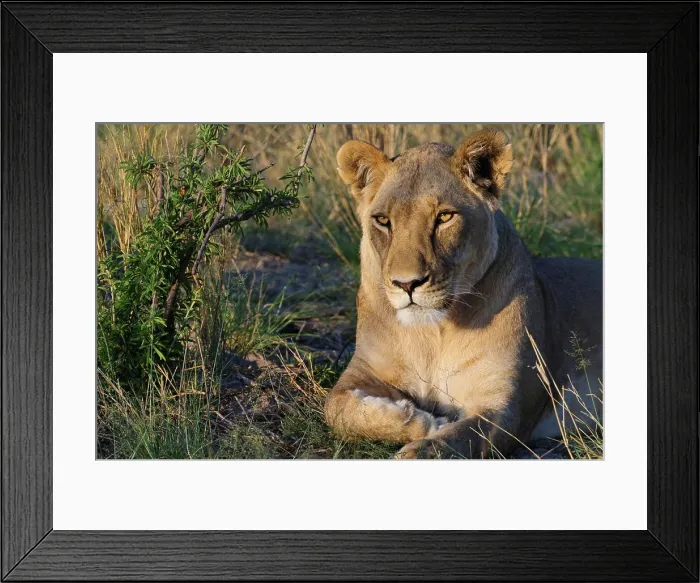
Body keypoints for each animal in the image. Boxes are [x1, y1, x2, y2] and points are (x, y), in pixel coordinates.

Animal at [324, 128, 603, 459]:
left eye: (444, 217)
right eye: (382, 221)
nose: (407, 284)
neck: (431, 334)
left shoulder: (503, 408)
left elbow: (455, 440)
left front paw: (425, 438)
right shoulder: (362, 370)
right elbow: (336, 408)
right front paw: (422, 421)